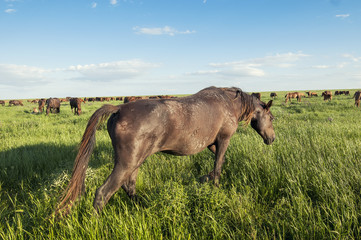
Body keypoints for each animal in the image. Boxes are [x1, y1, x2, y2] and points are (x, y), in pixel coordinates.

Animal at [55, 86, 276, 216]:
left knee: (129, 186)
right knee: (103, 192)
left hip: (136, 161)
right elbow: (219, 167)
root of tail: (119, 109)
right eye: (272, 117)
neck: (229, 102)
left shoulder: (212, 144)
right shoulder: (223, 140)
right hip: (128, 162)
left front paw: (205, 178)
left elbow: (215, 165)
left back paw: (143, 206)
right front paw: (214, 186)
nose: (272, 138)